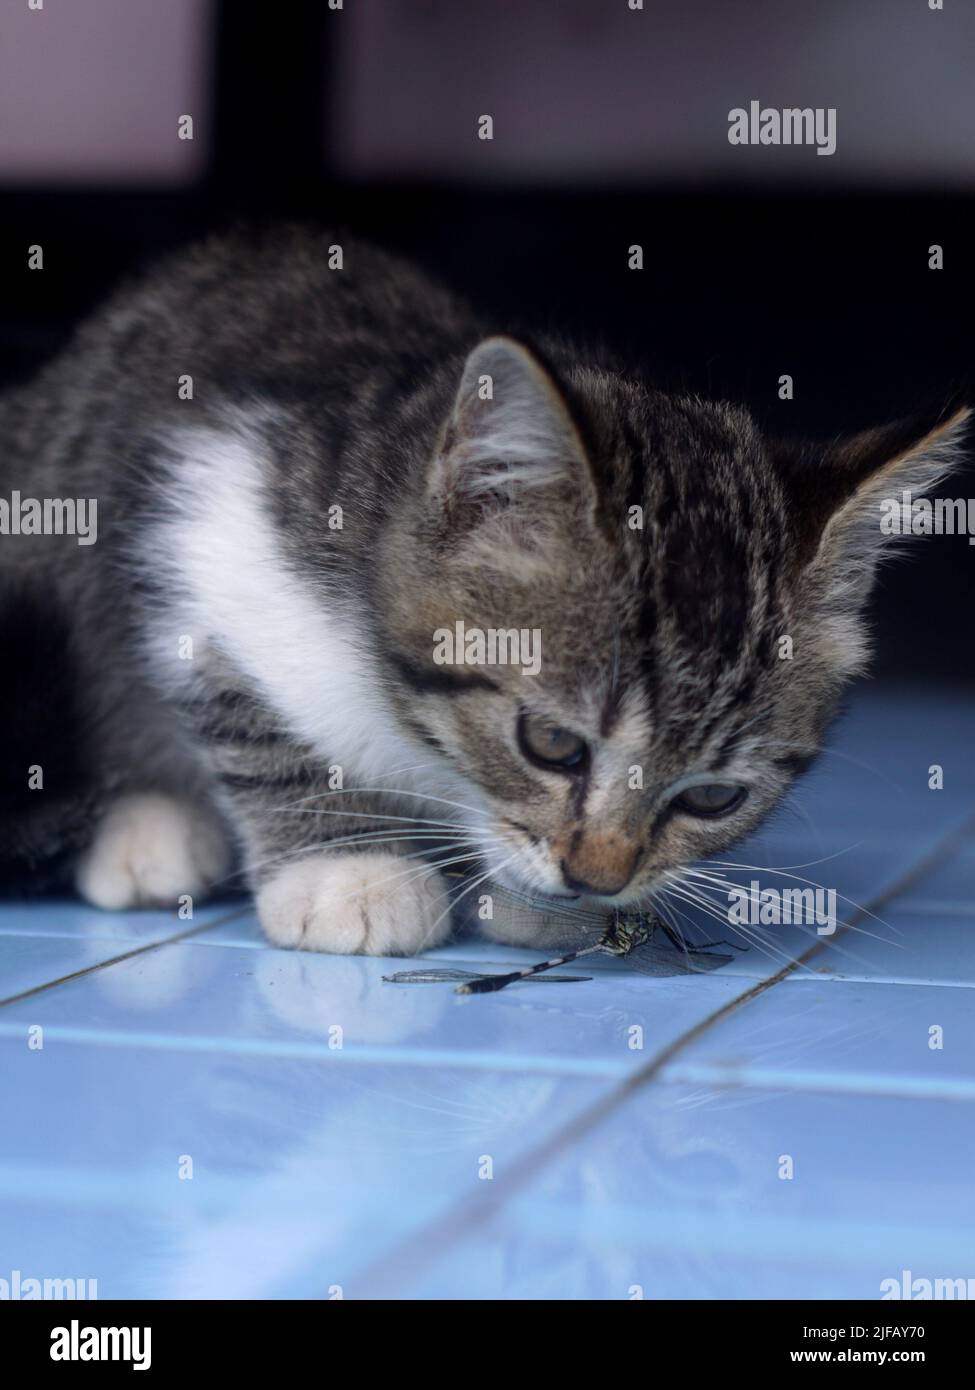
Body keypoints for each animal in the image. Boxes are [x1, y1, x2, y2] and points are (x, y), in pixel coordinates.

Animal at [0, 227, 962, 956]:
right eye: (551, 745)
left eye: (713, 798)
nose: (595, 877)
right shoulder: (205, 524)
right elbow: (252, 719)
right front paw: (347, 870)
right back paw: (152, 835)